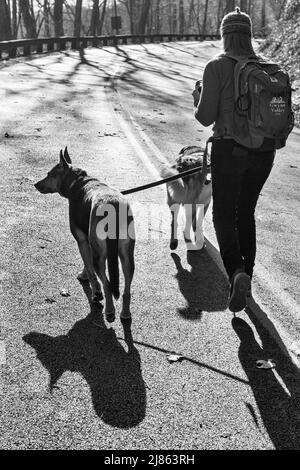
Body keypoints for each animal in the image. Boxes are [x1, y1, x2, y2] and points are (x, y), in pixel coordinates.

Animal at [34, 148, 135, 324]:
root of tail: (113, 207)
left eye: (49, 174)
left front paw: (95, 292)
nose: (36, 184)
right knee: (126, 289)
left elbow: (90, 270)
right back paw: (125, 313)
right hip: (127, 256)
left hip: (101, 257)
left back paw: (109, 311)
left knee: (107, 284)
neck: (77, 181)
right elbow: (87, 265)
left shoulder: (81, 240)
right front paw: (85, 275)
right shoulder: (89, 242)